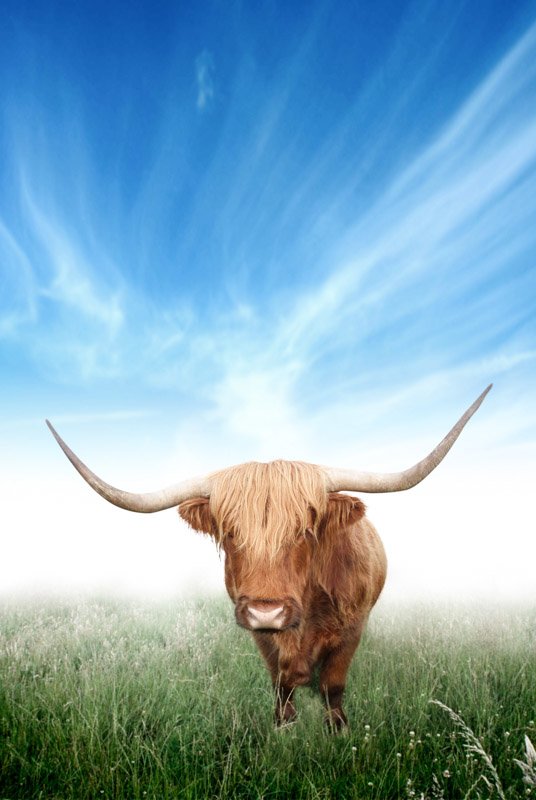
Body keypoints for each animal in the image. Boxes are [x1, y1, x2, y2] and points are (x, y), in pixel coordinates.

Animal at [46, 384, 490, 728]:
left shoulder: (351, 630)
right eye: (229, 533)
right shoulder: (262, 640)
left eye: (305, 531)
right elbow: (280, 686)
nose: (266, 611)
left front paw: (338, 731)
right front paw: (284, 728)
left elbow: (333, 685)